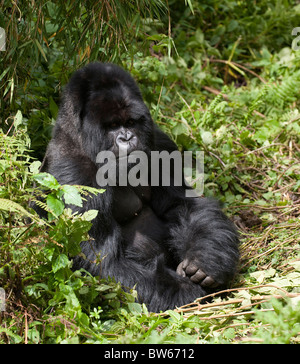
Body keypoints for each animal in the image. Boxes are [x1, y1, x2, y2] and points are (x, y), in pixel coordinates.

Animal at [41, 62, 239, 312]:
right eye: (113, 125)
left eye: (130, 123)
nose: (127, 138)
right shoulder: (75, 176)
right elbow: (102, 261)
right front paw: (186, 293)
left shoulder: (159, 144)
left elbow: (183, 206)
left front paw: (205, 260)